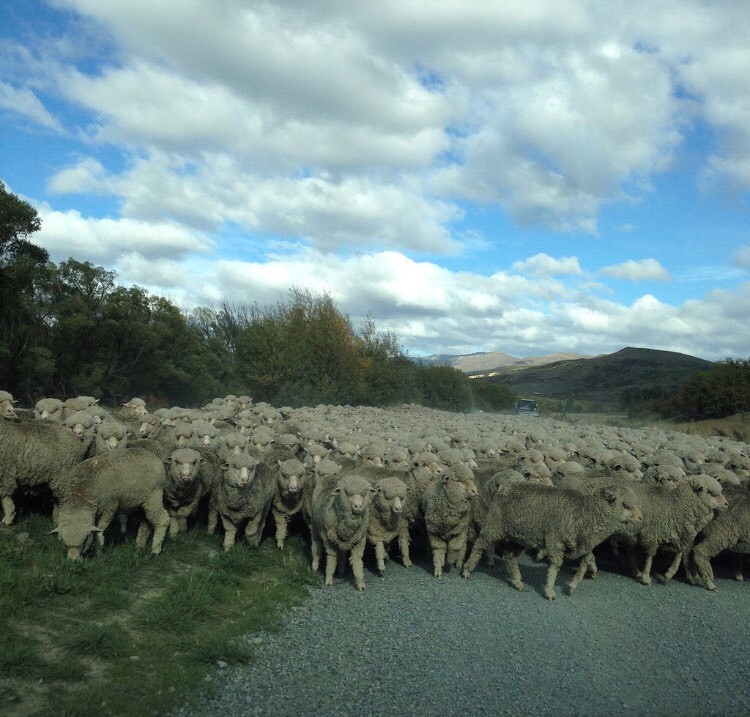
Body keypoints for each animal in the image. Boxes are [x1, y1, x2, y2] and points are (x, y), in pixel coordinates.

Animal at [464, 482, 648, 600]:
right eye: (625, 504)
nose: (641, 518)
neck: (586, 513)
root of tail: (505, 486)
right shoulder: (555, 541)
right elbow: (555, 566)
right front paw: (550, 591)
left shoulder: (583, 545)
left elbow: (586, 562)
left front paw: (572, 585)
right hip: (493, 526)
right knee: (479, 545)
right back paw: (467, 570)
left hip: (518, 537)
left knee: (509, 556)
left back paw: (517, 581)